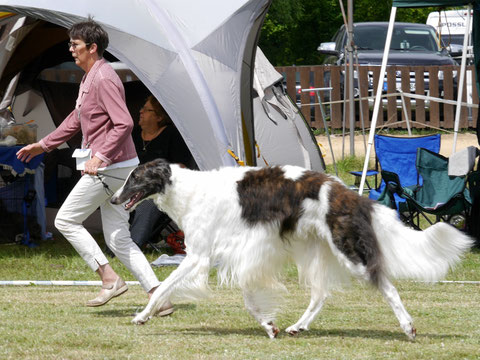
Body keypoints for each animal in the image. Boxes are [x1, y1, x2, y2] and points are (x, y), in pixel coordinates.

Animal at [109, 160, 472, 340]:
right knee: (320, 295)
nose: (112, 199)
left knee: (387, 285)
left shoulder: (200, 255)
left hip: (349, 251)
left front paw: (141, 316)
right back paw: (298, 325)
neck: (188, 191)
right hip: (314, 251)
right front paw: (270, 326)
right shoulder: (236, 254)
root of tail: (349, 194)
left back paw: (408, 327)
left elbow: (161, 289)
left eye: (134, 178)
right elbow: (249, 298)